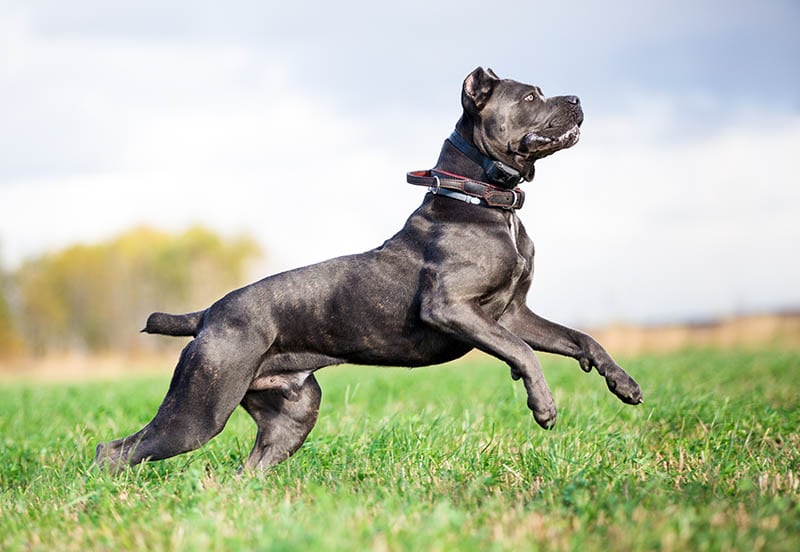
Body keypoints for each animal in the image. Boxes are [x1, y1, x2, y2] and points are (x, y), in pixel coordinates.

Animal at [94, 67, 644, 472]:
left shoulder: (514, 313)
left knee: (245, 469)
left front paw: (624, 384)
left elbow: (580, 339)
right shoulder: (454, 309)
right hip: (199, 411)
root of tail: (207, 314)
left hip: (292, 415)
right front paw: (543, 406)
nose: (577, 98)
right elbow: (523, 353)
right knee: (115, 451)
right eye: (530, 96)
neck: (486, 202)